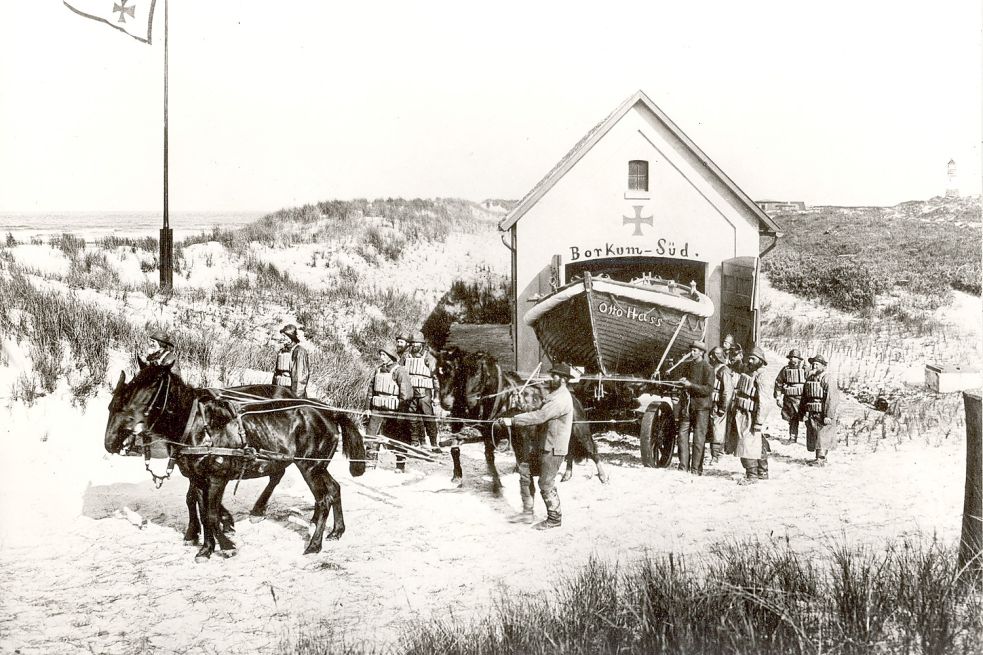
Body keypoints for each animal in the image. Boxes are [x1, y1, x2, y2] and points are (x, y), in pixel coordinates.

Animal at [104, 362, 368, 560]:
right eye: (113, 404)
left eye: (149, 391)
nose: (110, 442)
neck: (198, 425)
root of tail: (329, 411)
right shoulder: (197, 478)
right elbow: (199, 508)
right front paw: (206, 545)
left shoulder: (216, 478)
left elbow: (210, 514)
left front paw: (224, 544)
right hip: (317, 465)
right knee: (333, 489)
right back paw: (336, 530)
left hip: (310, 467)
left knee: (322, 499)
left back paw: (314, 544)